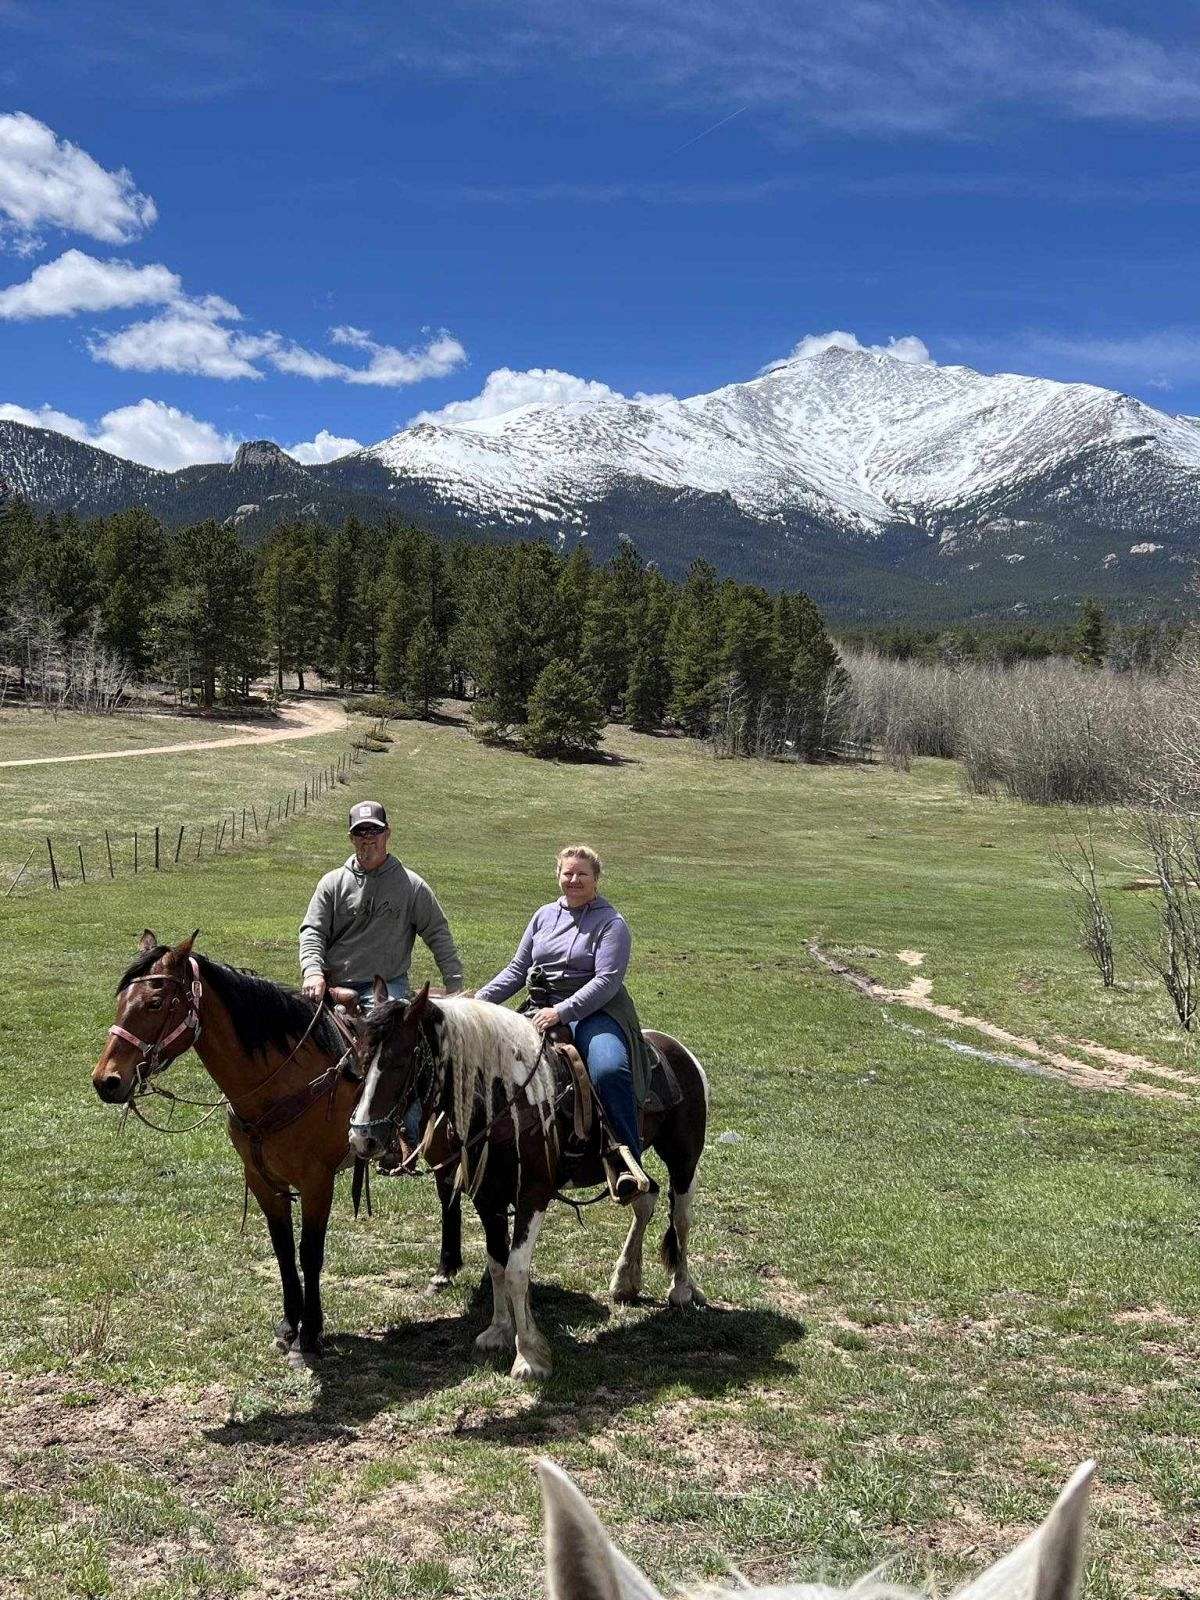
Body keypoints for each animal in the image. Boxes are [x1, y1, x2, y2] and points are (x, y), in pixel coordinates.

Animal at [90, 934, 464, 1363]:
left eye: (154, 1002)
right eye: (121, 1000)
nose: (106, 1081)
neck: (280, 1082)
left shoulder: (318, 1182)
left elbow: (310, 1253)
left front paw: (310, 1335)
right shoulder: (262, 1180)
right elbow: (283, 1250)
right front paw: (288, 1326)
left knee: (448, 1188)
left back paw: (444, 1269)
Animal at [347, 979, 710, 1382]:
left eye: (399, 1061)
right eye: (358, 1060)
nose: (361, 1139)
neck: (505, 1100)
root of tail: (677, 1049)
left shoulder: (532, 1195)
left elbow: (517, 1271)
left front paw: (529, 1357)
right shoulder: (487, 1198)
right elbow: (496, 1266)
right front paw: (498, 1333)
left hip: (684, 1157)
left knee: (681, 1216)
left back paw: (681, 1289)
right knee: (645, 1198)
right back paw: (625, 1281)